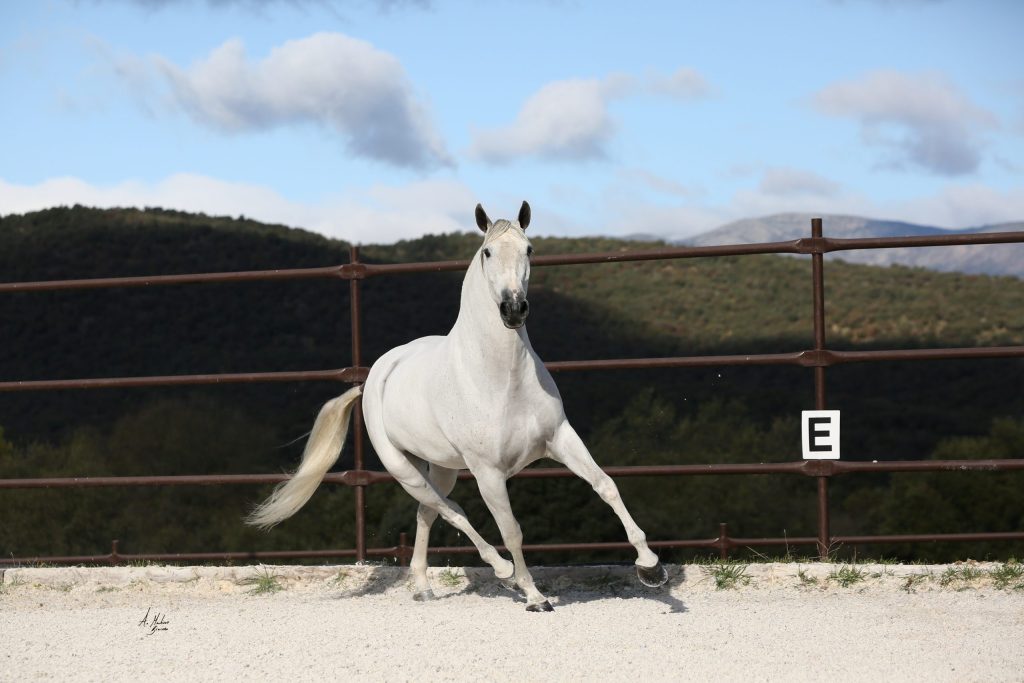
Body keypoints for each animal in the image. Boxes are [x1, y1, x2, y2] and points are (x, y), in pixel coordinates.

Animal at [248, 201, 668, 611]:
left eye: (529, 249)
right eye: (487, 252)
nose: (513, 309)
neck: (502, 379)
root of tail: (373, 377)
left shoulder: (562, 440)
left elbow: (606, 485)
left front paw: (651, 568)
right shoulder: (488, 473)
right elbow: (512, 531)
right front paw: (534, 596)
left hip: (441, 466)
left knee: (428, 512)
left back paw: (423, 587)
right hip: (403, 468)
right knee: (450, 510)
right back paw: (502, 572)